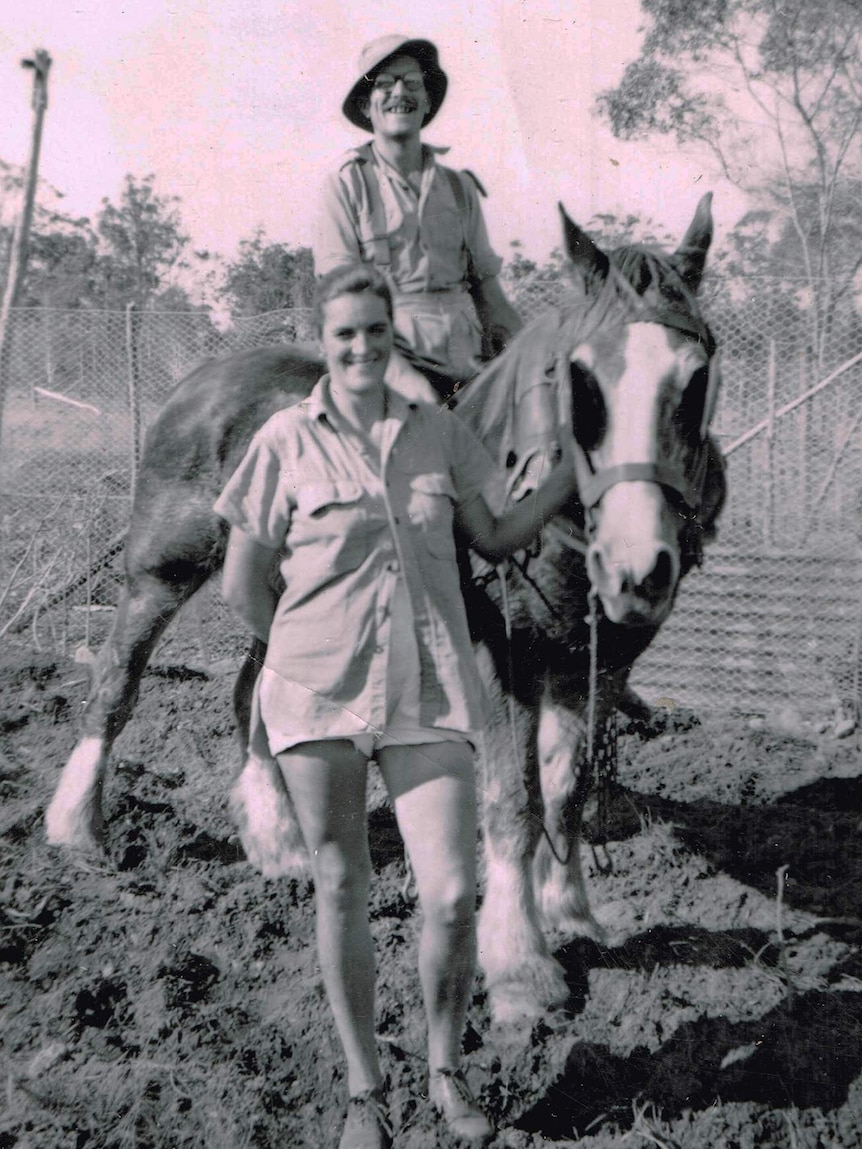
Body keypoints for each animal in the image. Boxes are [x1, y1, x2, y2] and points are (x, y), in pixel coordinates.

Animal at [43, 195, 726, 1024]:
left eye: (696, 377)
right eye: (579, 377)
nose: (637, 567)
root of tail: (204, 378)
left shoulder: (596, 661)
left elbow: (567, 789)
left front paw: (572, 914)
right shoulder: (501, 659)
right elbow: (515, 802)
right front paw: (520, 966)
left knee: (251, 695)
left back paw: (277, 842)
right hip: (161, 569)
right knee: (117, 680)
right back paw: (78, 826)